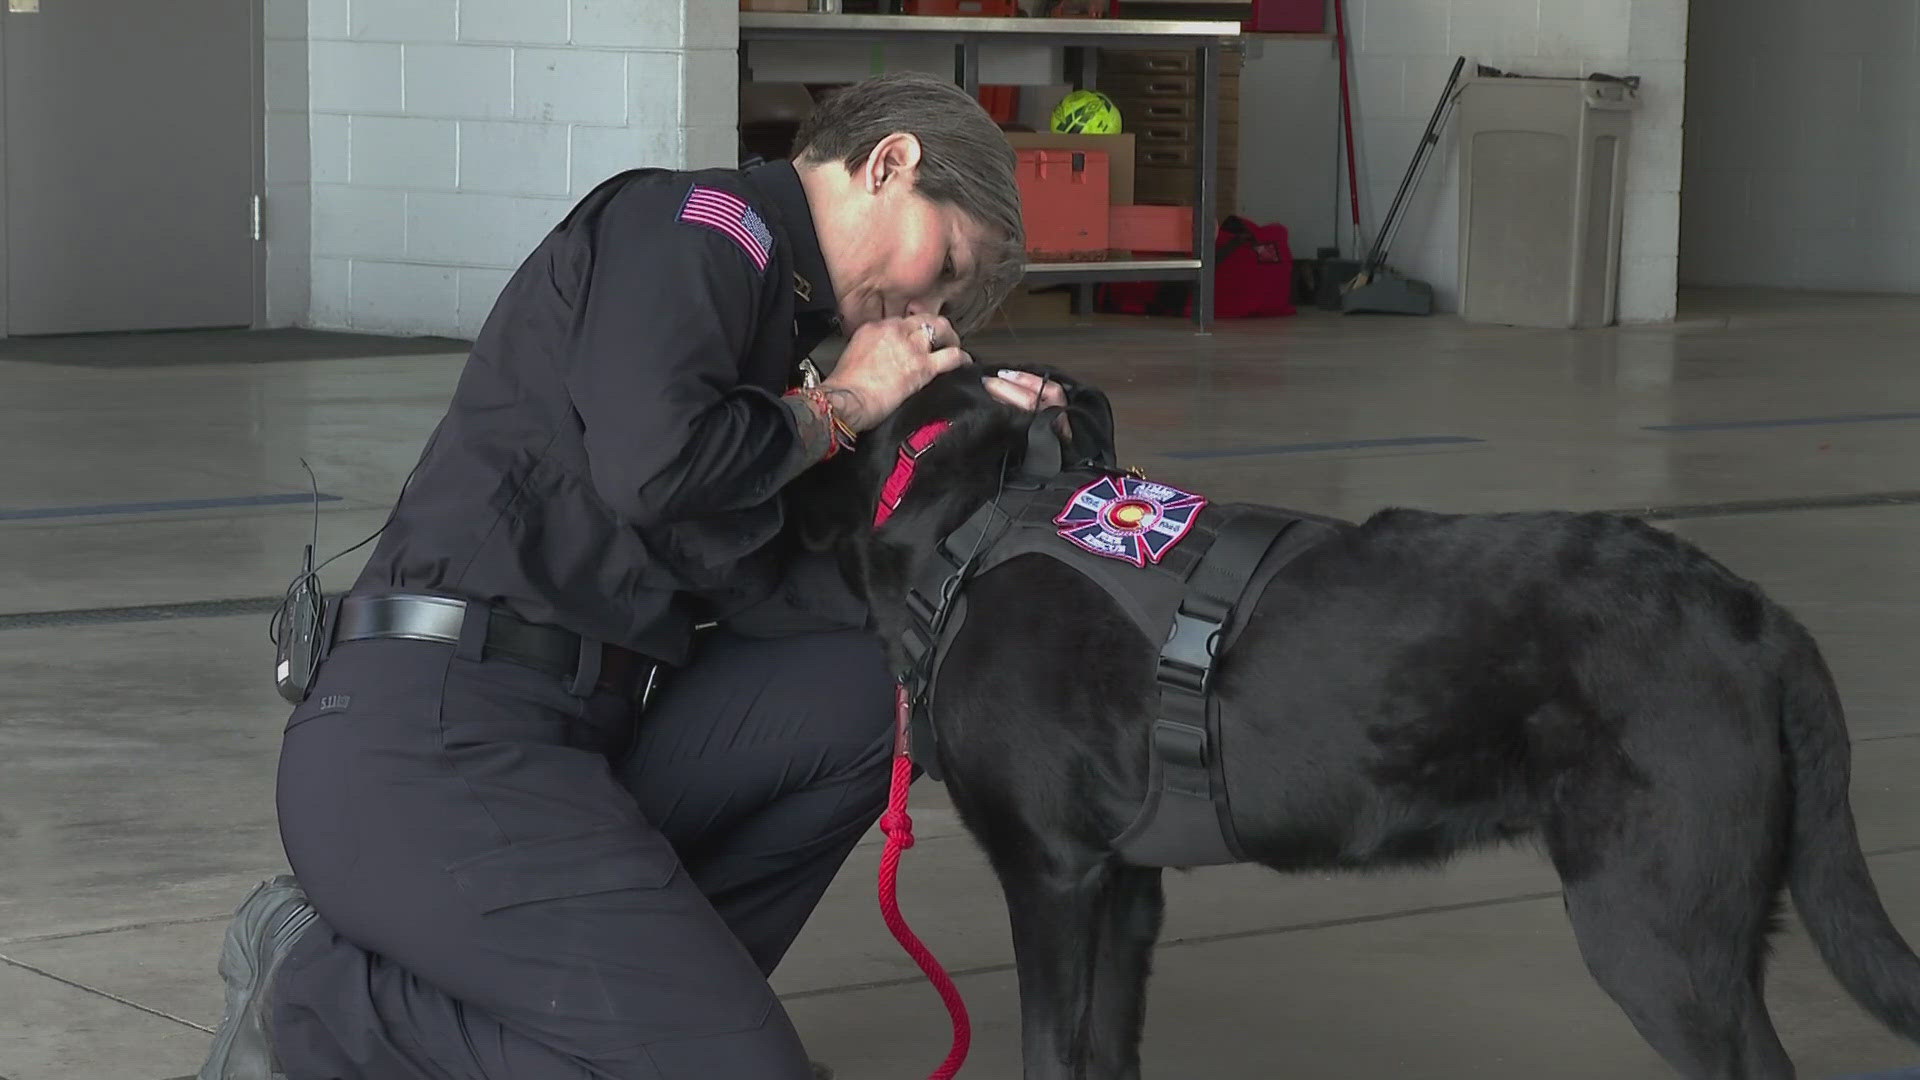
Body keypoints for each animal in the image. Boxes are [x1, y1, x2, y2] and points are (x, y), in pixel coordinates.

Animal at [791, 367, 1920, 1076]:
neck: (963, 517)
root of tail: (1754, 613)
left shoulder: (1053, 875)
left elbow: (1047, 1052)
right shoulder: (1124, 888)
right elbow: (1106, 1052)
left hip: (1654, 930)